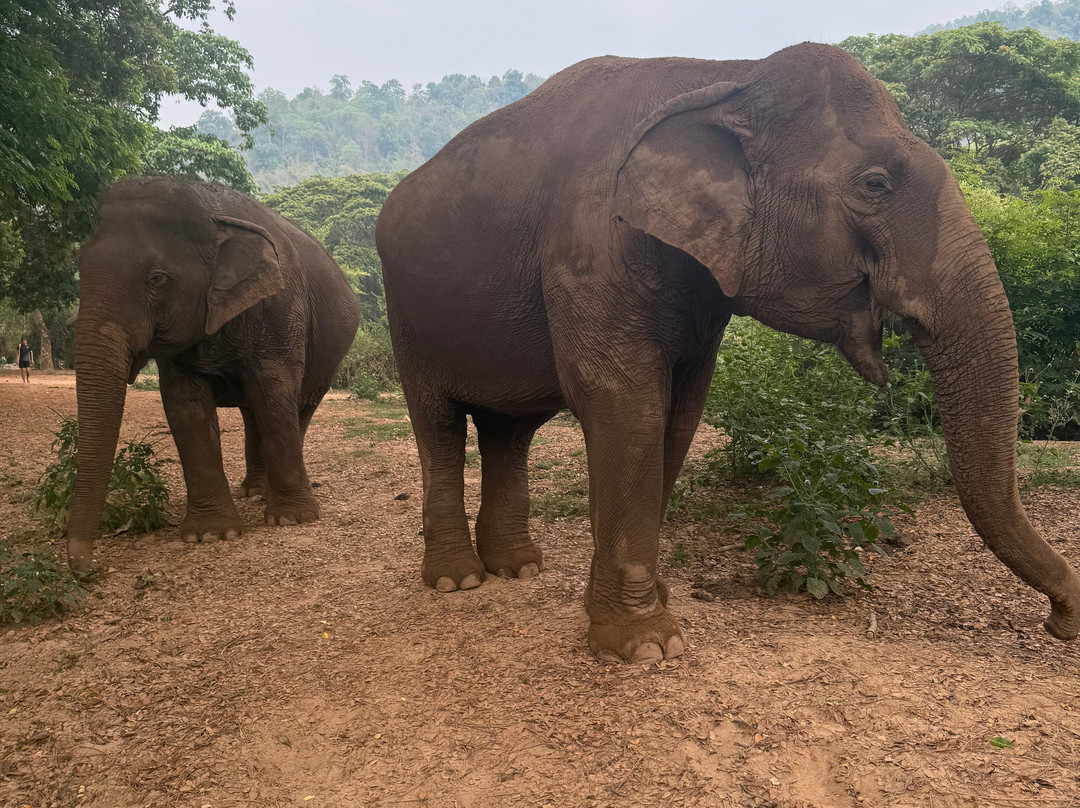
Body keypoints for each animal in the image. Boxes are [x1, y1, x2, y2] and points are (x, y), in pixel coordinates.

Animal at [66, 176, 360, 569]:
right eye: (80, 266)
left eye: (157, 279)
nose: (83, 566)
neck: (211, 210)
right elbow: (185, 406)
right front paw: (210, 535)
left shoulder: (281, 309)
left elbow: (275, 391)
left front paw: (292, 519)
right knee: (253, 412)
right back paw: (254, 490)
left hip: (328, 359)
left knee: (296, 407)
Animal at [376, 42, 1080, 663]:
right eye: (875, 184)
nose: (1061, 621)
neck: (727, 75)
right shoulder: (586, 248)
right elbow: (625, 401)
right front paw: (646, 646)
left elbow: (680, 411)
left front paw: (630, 607)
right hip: (405, 316)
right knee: (439, 424)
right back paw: (457, 579)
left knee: (510, 429)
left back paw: (518, 569)